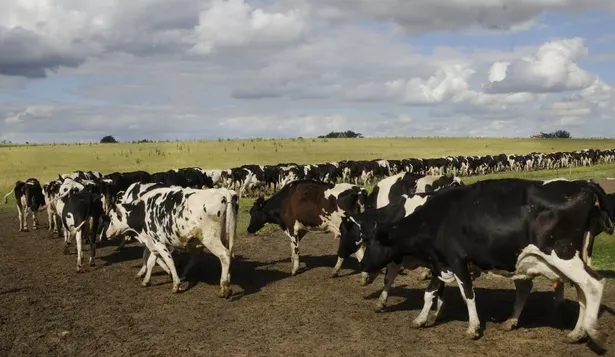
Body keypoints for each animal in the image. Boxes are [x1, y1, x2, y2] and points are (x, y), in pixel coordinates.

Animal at [104, 185, 239, 296]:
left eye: (111, 217)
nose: (106, 234)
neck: (144, 210)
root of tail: (223, 191)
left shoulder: (158, 242)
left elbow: (169, 261)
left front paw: (176, 284)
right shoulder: (153, 242)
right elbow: (151, 261)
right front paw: (146, 280)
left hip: (210, 239)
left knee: (224, 255)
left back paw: (224, 287)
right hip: (226, 237)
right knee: (228, 256)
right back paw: (227, 279)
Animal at [358, 178, 612, 348]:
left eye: (371, 242)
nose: (363, 266)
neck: (436, 218)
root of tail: (582, 185)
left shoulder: (457, 260)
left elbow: (468, 294)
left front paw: (473, 328)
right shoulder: (440, 262)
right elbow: (429, 293)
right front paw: (420, 319)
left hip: (563, 254)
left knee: (594, 284)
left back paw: (592, 331)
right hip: (574, 258)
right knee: (581, 290)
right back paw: (577, 333)